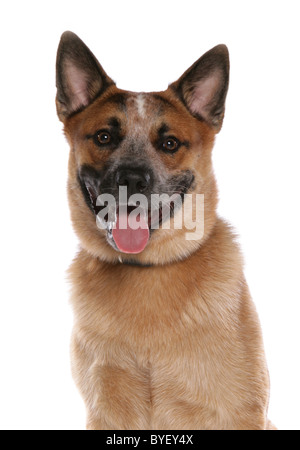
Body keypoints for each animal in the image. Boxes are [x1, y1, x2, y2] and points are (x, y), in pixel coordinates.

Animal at [55, 29, 276, 430]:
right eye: (104, 137)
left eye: (169, 143)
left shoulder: (240, 413)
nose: (132, 179)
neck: (147, 271)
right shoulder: (106, 412)